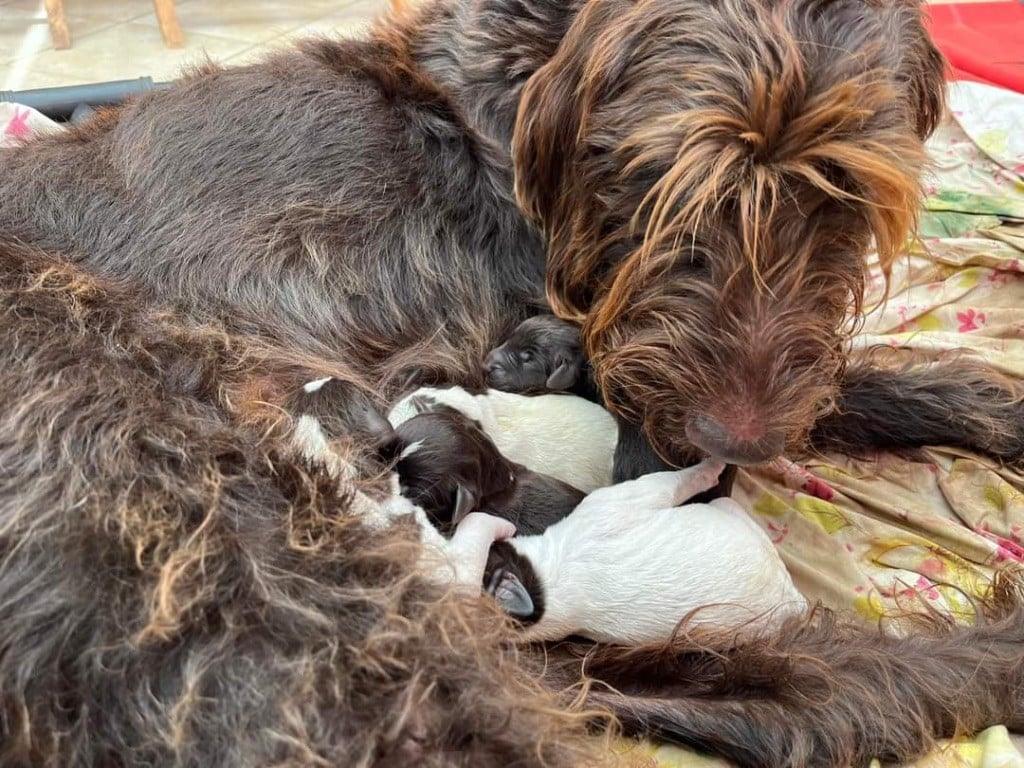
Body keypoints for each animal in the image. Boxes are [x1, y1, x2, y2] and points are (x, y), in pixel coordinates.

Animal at [479, 460, 806, 647]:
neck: (544, 589)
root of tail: (792, 600)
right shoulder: (627, 498)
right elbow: (682, 479)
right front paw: (713, 465)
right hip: (728, 507)